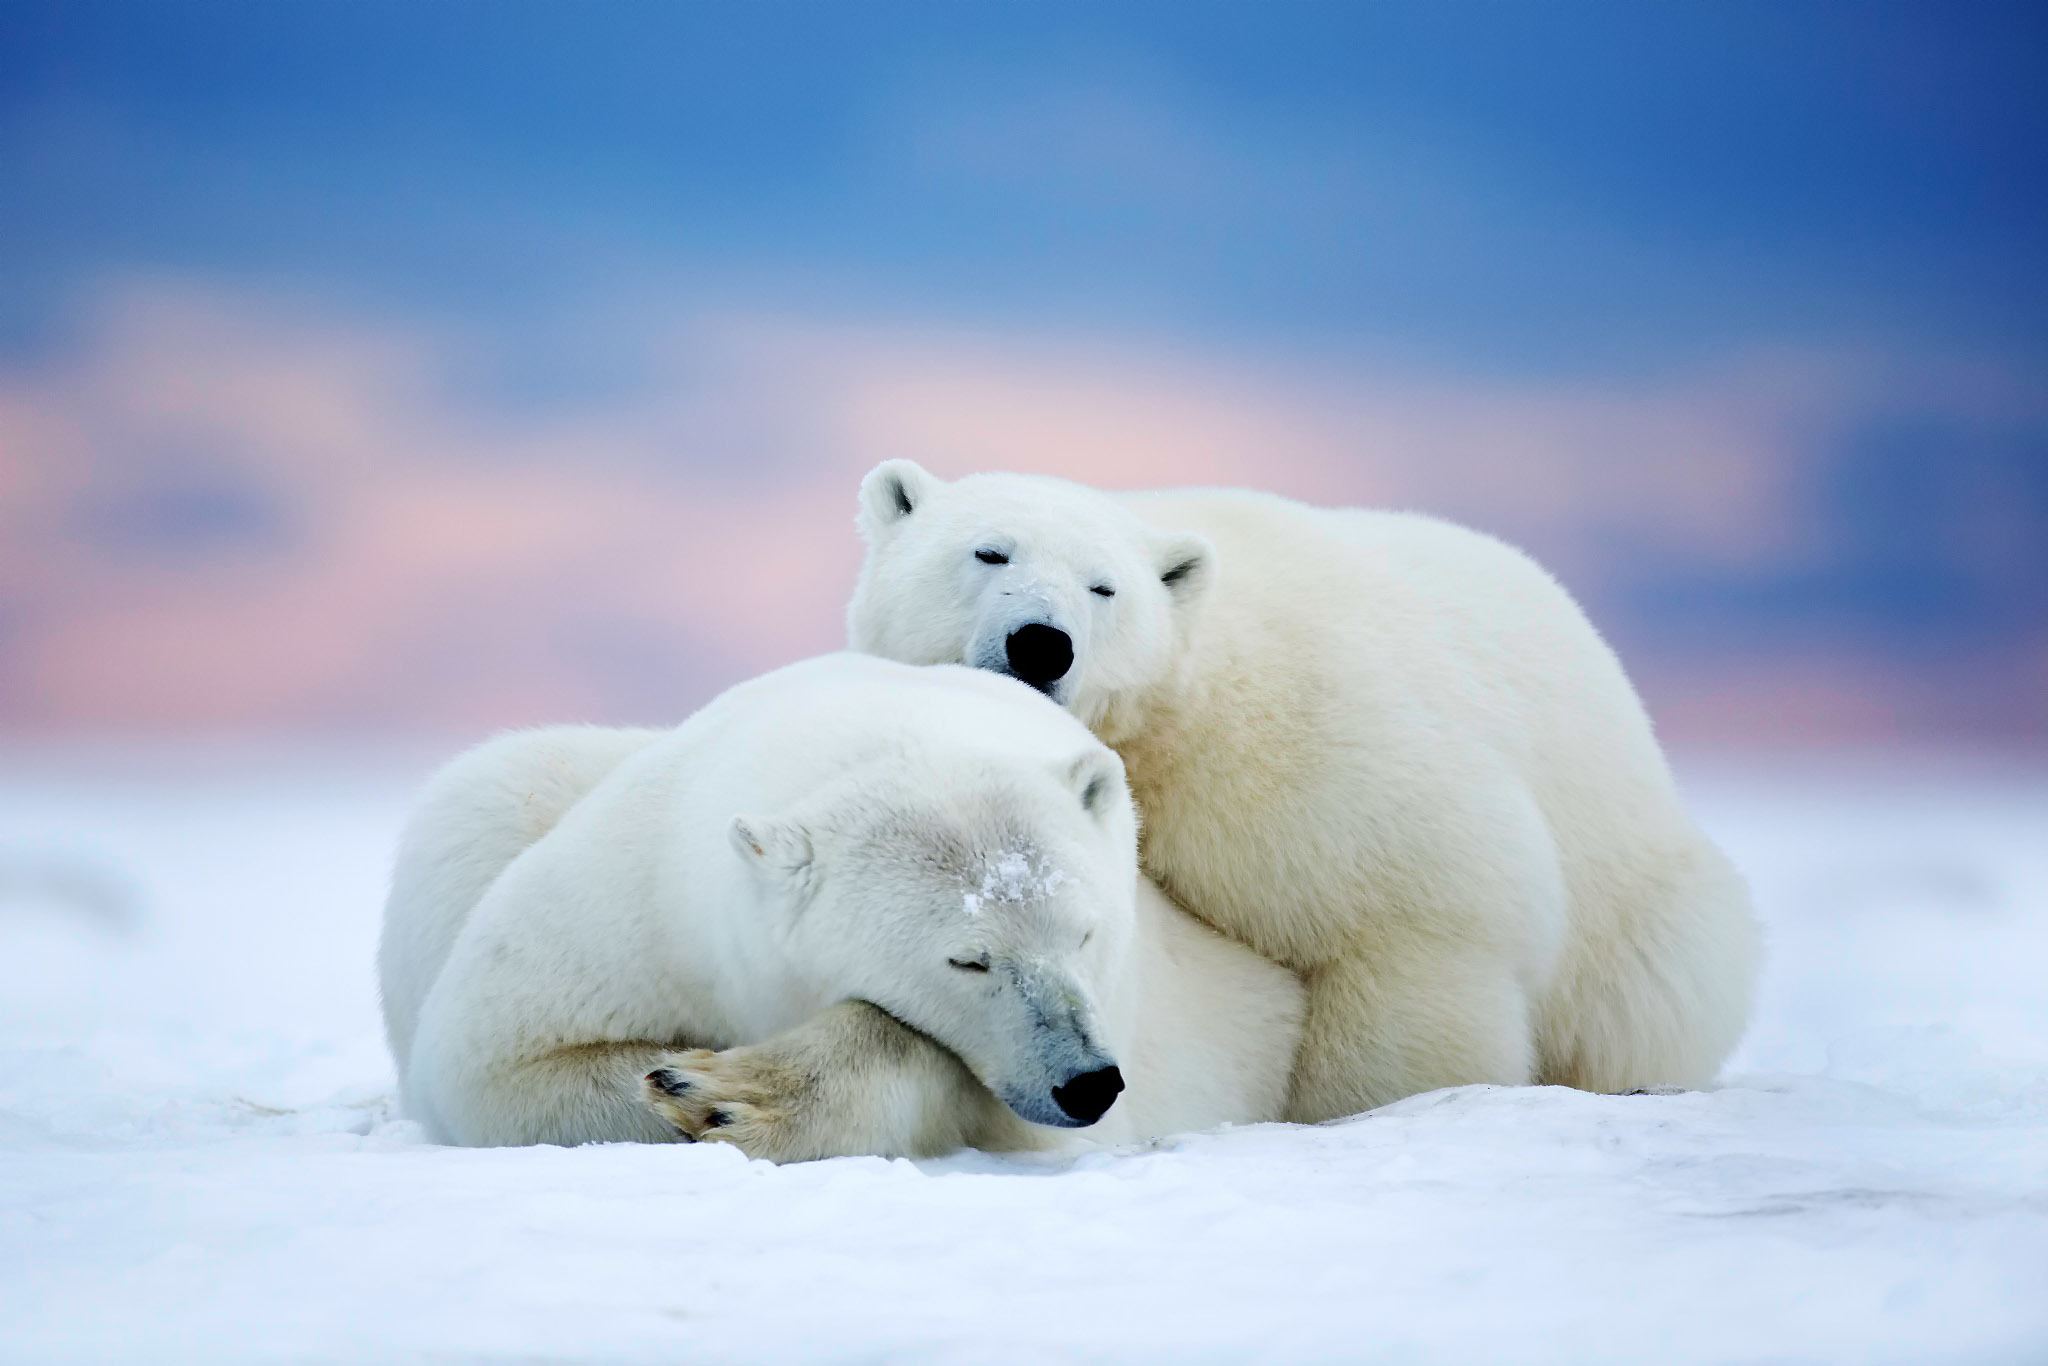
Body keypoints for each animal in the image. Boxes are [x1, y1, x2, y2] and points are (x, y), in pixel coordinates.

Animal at [378, 655, 1302, 1163]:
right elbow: (496, 1063)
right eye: (969, 958)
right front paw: (688, 1081)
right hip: (495, 802)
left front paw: (727, 1093)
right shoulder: (638, 901)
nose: (1087, 1082)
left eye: (1085, 932)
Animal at [847, 458, 1761, 1122]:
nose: (1042, 642)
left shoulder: (1309, 756)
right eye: (988, 551)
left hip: (1638, 904)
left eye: (1104, 587)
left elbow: (1414, 922)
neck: (1176, 716)